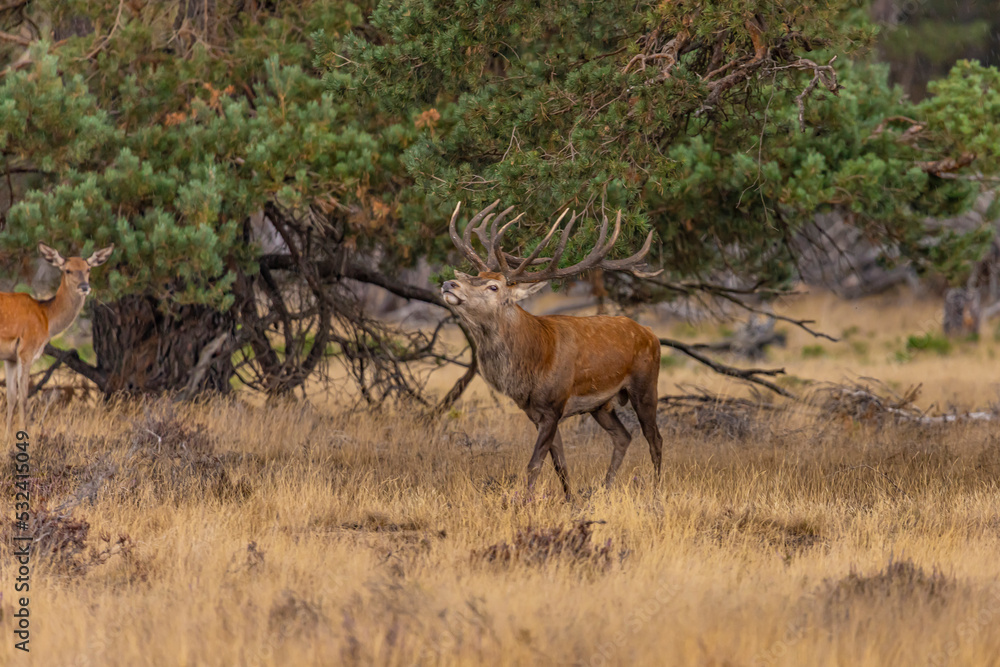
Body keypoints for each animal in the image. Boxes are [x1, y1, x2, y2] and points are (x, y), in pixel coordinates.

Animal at [1, 243, 114, 437]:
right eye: (68, 270)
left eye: (88, 269)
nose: (84, 287)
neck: (46, 318)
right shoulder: (26, 350)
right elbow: (23, 396)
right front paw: (22, 433)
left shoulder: (11, 358)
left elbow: (12, 396)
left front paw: (7, 436)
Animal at [441, 200, 663, 499]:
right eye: (476, 276)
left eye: (493, 286)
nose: (448, 283)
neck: (533, 364)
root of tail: (651, 333)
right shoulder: (536, 412)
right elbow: (560, 464)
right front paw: (571, 501)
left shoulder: (554, 405)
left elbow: (534, 464)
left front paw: (526, 502)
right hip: (601, 405)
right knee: (623, 436)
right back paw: (605, 489)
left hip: (646, 385)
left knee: (655, 438)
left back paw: (656, 491)